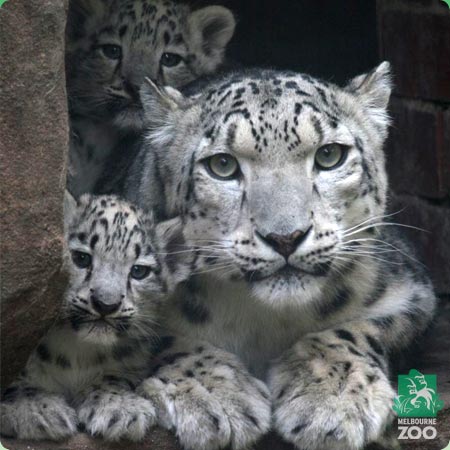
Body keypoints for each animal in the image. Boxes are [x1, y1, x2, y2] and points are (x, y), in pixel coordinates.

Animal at [0, 192, 192, 440]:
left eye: (139, 271)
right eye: (81, 258)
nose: (106, 304)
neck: (76, 353)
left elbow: (113, 377)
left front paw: (119, 406)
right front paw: (36, 408)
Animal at [123, 63, 436, 450]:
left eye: (329, 155)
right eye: (222, 164)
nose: (286, 237)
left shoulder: (413, 293)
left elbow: (362, 327)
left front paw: (331, 398)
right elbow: (158, 337)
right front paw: (214, 394)